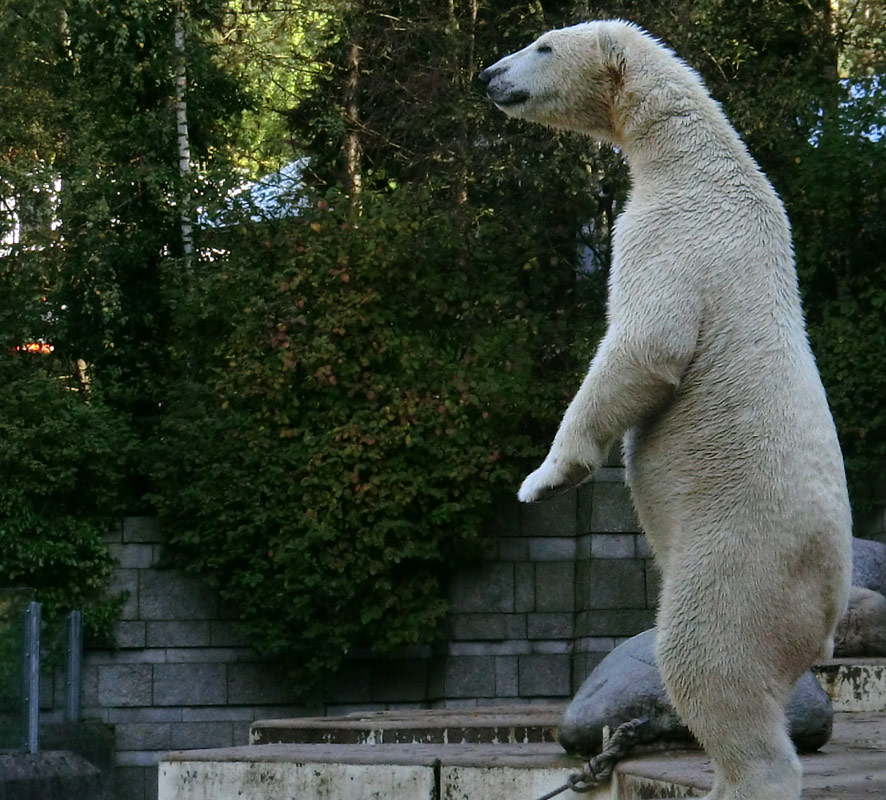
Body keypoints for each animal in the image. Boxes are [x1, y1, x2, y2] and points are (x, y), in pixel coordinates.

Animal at [482, 18, 856, 800]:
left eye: (544, 46)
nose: (487, 75)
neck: (695, 158)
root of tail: (831, 607)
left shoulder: (675, 231)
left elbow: (646, 342)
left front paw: (545, 477)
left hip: (743, 554)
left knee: (704, 654)